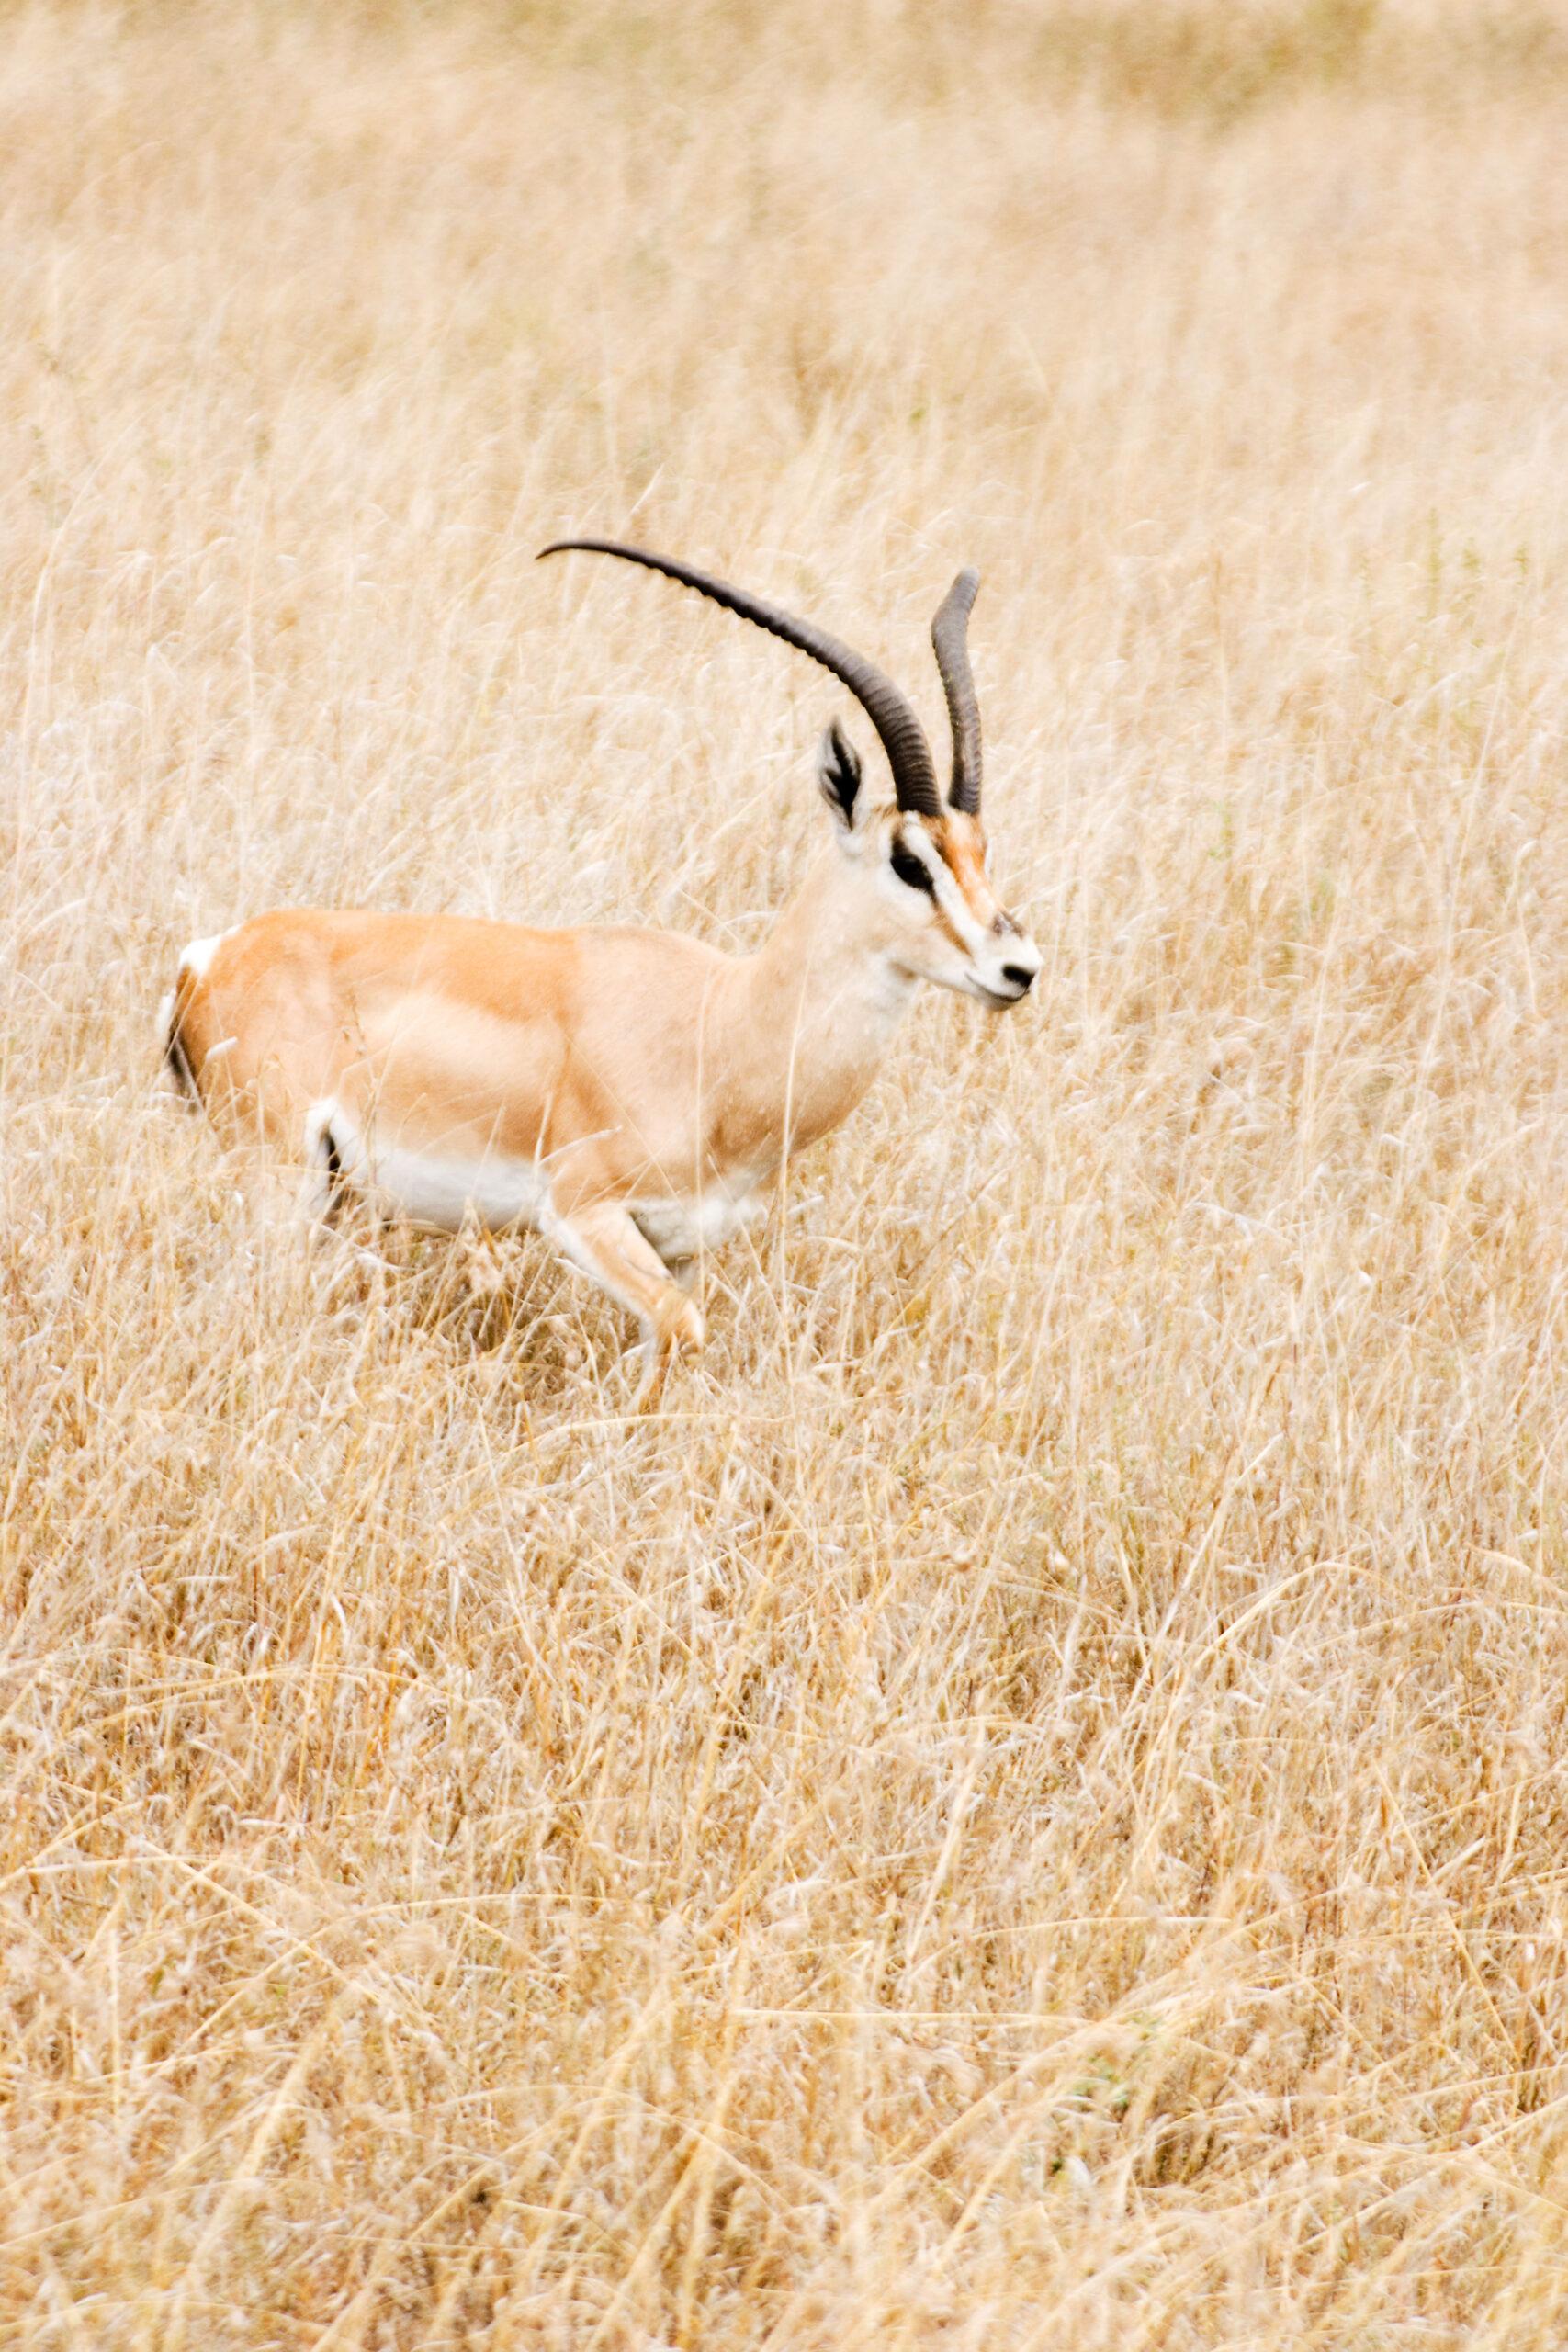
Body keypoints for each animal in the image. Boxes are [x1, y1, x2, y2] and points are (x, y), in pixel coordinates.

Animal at [162, 541, 1042, 1390]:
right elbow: (682, 1332)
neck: (725, 1025)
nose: (1017, 968)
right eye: (909, 861)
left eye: (979, 851)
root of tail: (213, 955)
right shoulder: (580, 1213)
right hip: (283, 1183)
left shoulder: (684, 1246)